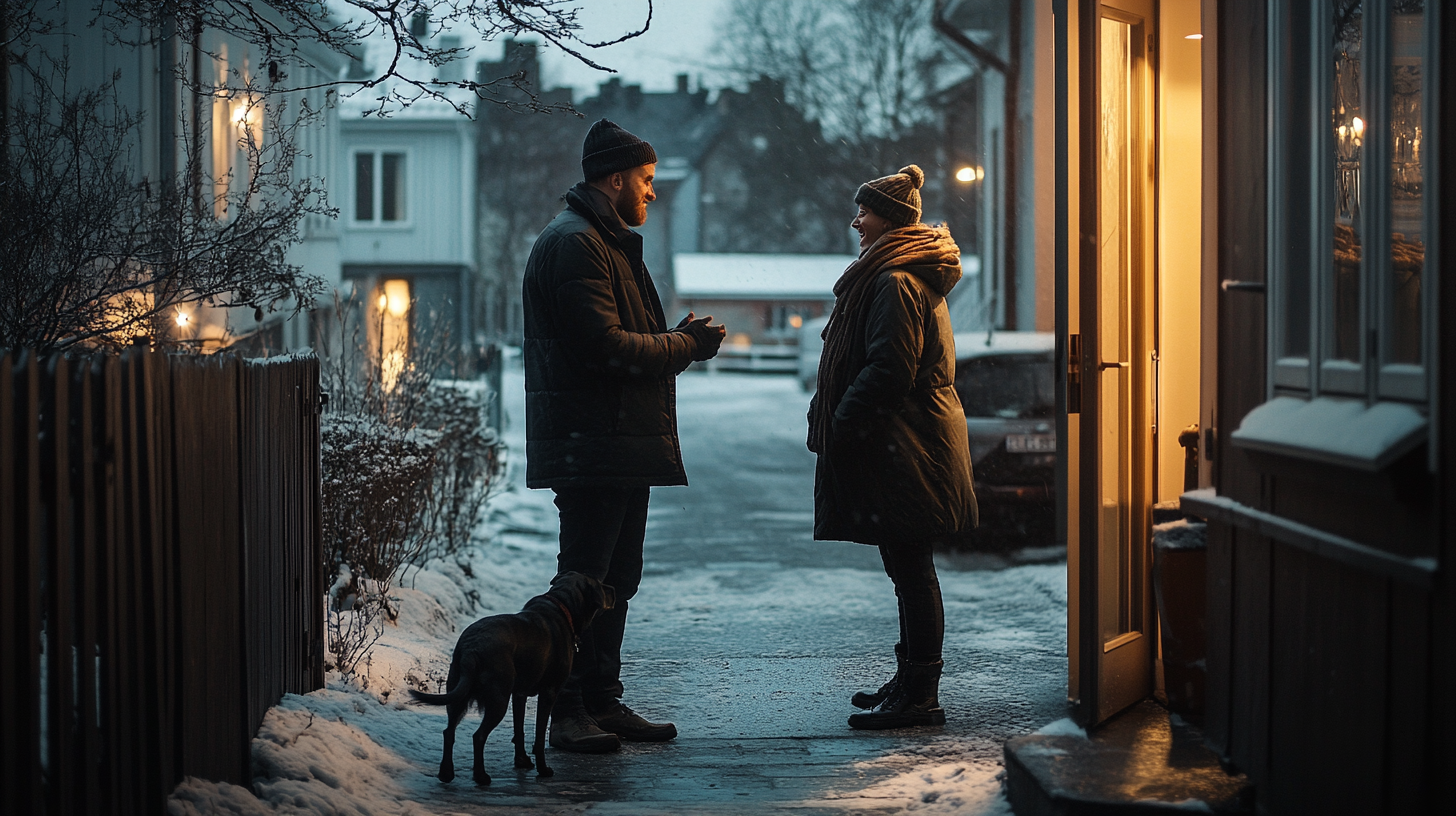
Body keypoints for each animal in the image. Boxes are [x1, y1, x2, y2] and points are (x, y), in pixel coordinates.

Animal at [410, 571, 614, 786]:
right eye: (601, 585)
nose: (614, 590)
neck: (561, 605)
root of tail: (471, 649)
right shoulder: (549, 692)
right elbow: (539, 735)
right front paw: (543, 769)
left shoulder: (519, 694)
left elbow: (519, 729)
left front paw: (522, 761)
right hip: (498, 700)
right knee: (478, 736)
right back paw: (481, 776)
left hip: (458, 695)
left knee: (448, 732)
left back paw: (446, 773)